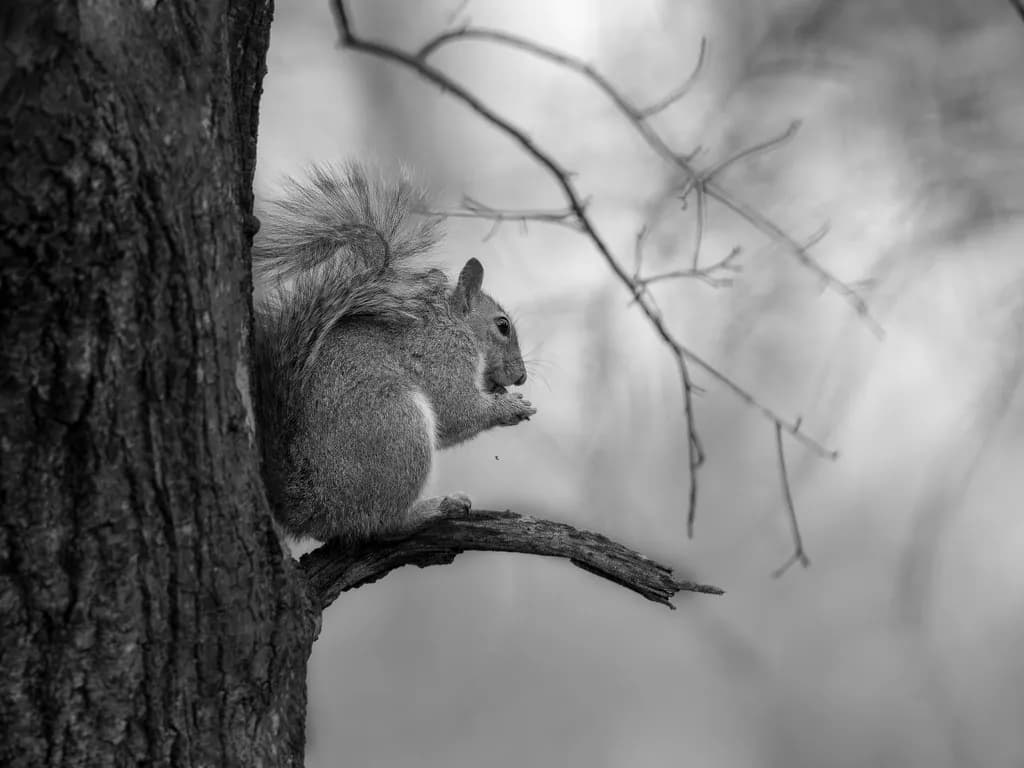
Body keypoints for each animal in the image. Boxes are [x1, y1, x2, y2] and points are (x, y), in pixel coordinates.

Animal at [251, 164, 536, 543]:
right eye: (502, 326)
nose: (521, 376)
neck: (456, 327)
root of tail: (316, 508)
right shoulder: (442, 358)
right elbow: (457, 410)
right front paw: (510, 406)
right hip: (396, 423)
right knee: (382, 523)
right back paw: (434, 509)